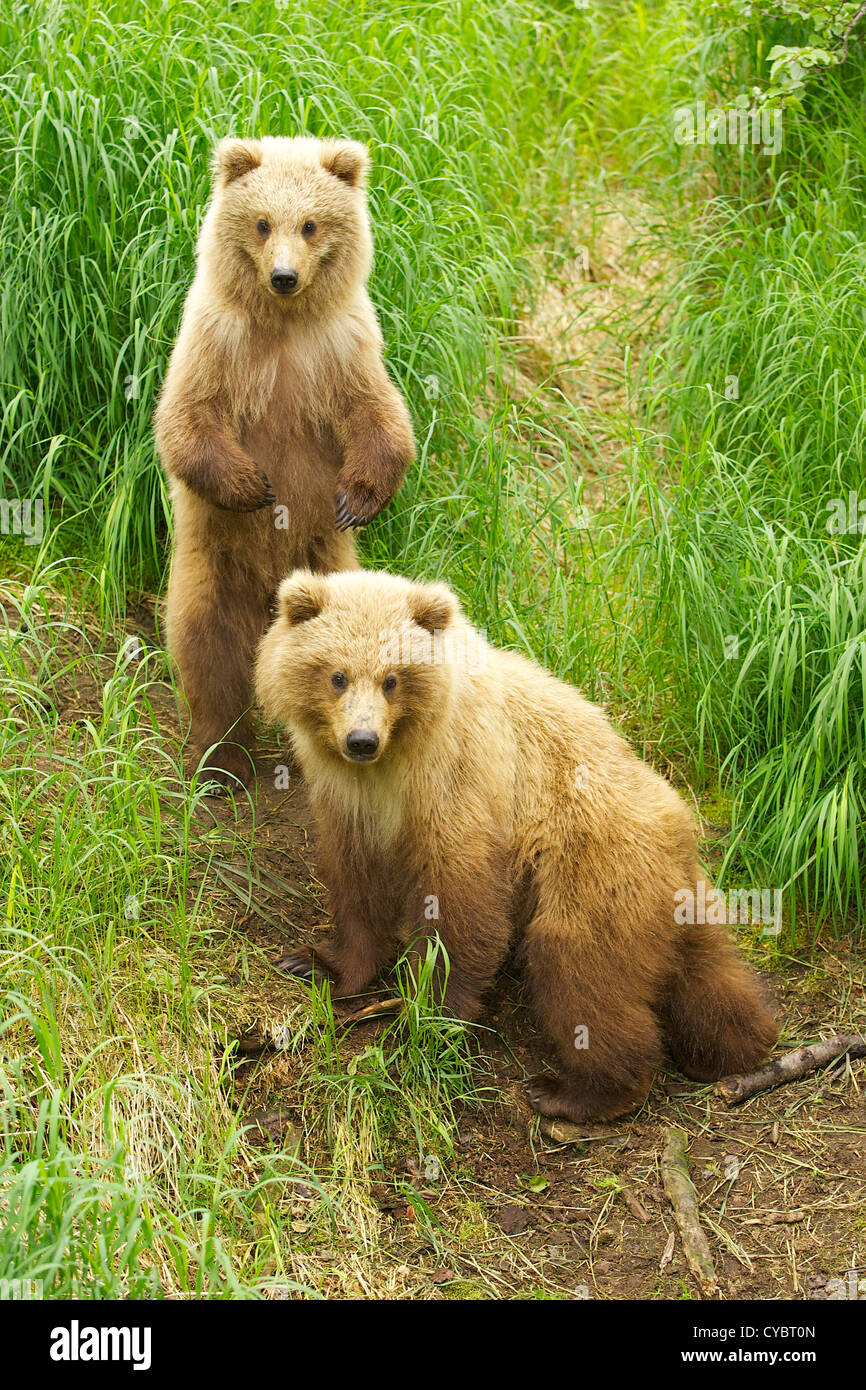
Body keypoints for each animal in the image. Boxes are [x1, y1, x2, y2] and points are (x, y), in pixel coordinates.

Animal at [155, 135, 417, 789]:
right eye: (261, 221)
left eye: (311, 223)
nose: (283, 276)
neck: (283, 324)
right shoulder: (215, 341)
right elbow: (185, 422)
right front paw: (253, 486)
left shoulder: (343, 348)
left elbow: (381, 419)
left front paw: (357, 499)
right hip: (215, 565)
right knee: (209, 647)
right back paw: (222, 758)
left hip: (326, 565)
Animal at [254, 569, 778, 1123]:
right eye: (336, 675)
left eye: (392, 678)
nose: (361, 739)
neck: (395, 761)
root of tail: (680, 825)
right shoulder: (350, 805)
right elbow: (354, 885)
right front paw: (316, 963)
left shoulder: (458, 785)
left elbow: (458, 905)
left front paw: (430, 1019)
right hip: (671, 896)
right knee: (706, 973)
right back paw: (732, 1046)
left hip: (594, 864)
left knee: (577, 963)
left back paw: (575, 1091)